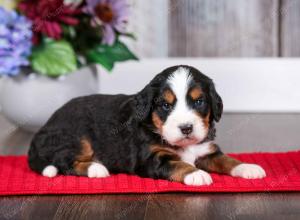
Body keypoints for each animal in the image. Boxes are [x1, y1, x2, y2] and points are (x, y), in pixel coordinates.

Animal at [29, 65, 266, 186]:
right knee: (63, 160)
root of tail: (44, 127)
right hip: (77, 137)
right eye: (165, 105)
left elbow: (227, 160)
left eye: (199, 101)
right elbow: (178, 164)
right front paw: (195, 174)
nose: (186, 128)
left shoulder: (206, 151)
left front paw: (248, 167)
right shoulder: (152, 157)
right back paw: (95, 168)